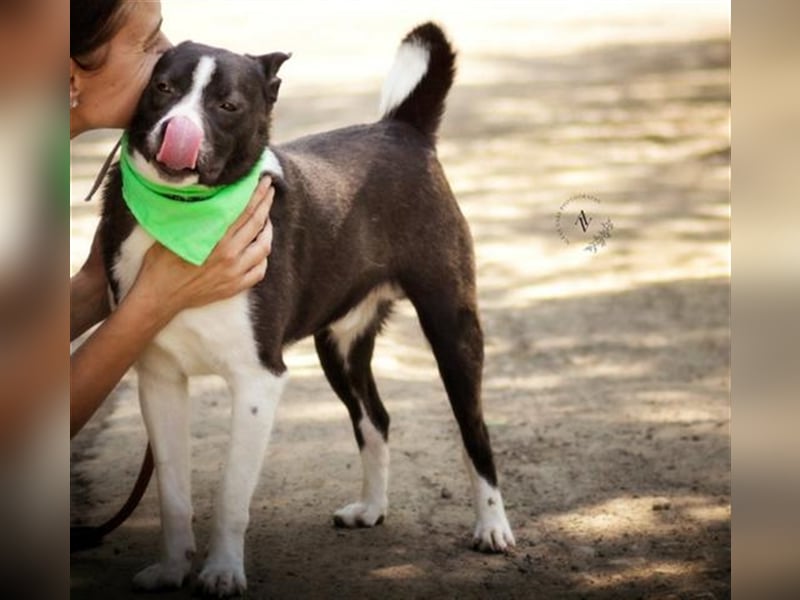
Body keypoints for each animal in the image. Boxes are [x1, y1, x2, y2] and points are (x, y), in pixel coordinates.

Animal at [99, 22, 515, 596]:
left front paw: (222, 570)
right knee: (376, 419)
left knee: (475, 430)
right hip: (338, 346)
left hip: (452, 328)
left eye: (228, 105)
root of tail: (400, 127)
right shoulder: (160, 379)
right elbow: (173, 493)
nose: (175, 130)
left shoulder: (258, 381)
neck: (187, 217)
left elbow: (231, 493)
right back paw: (372, 508)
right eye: (162, 88)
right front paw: (172, 567)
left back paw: (492, 525)